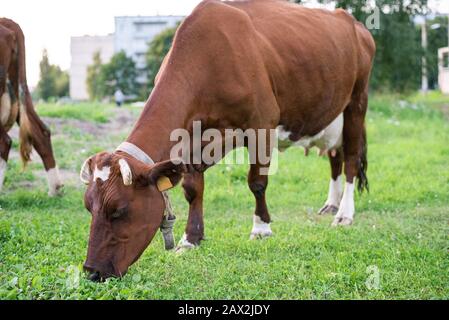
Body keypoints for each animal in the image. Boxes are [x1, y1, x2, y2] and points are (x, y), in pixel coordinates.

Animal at [79, 0, 372, 280]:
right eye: (88, 207)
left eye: (119, 210)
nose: (92, 271)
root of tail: (353, 22)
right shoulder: (190, 138)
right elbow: (192, 188)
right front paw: (191, 238)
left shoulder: (262, 123)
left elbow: (257, 183)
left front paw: (261, 228)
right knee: (335, 157)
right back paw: (331, 204)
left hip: (357, 101)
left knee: (351, 159)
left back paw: (344, 214)